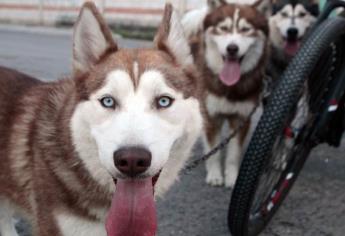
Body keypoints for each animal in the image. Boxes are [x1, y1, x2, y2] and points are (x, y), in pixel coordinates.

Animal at [181, 0, 270, 188]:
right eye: (223, 28)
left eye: (245, 29)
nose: (232, 48)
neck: (230, 87)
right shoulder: (211, 117)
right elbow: (213, 152)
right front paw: (215, 175)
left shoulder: (241, 118)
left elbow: (233, 155)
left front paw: (232, 178)